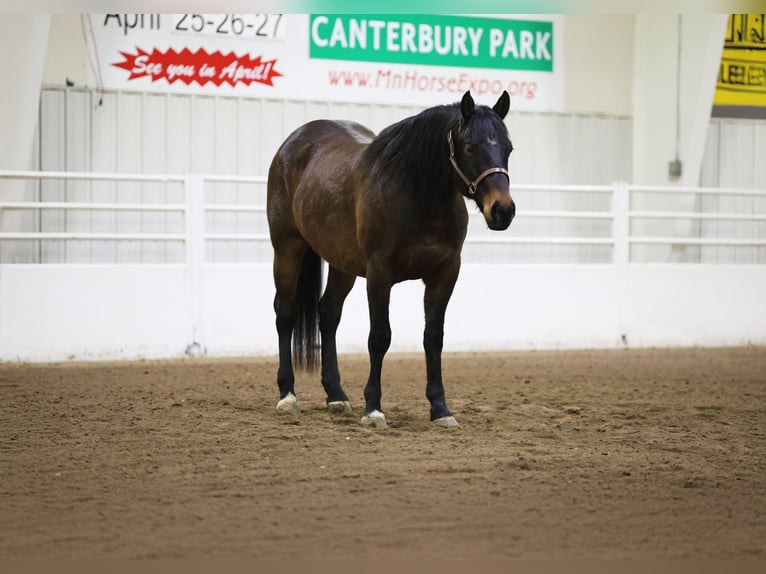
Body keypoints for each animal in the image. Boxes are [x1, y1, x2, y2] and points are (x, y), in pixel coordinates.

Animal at [268, 90, 516, 430]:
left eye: (508, 149)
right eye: (470, 147)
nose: (502, 211)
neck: (416, 196)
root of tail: (293, 143)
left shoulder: (445, 274)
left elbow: (433, 338)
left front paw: (440, 408)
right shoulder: (379, 274)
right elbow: (379, 337)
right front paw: (373, 409)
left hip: (341, 263)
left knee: (328, 314)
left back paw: (336, 396)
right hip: (287, 248)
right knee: (286, 314)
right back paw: (288, 395)